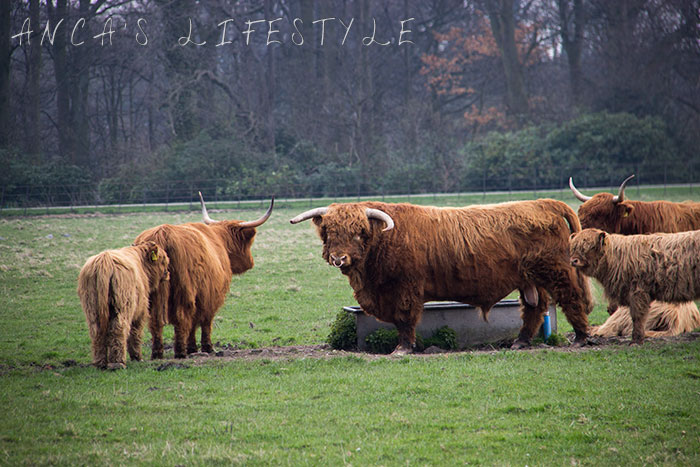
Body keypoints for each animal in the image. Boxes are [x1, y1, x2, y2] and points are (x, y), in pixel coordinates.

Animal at [77, 241, 170, 370]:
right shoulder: (140, 312)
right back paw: (118, 363)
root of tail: (105, 260)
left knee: (96, 331)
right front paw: (137, 357)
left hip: (92, 306)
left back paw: (100, 363)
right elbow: (135, 333)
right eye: (163, 259)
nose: (168, 273)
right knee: (119, 329)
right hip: (122, 305)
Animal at [135, 195, 274, 358]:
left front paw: (194, 348)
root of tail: (162, 234)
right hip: (184, 292)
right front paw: (206, 347)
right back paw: (180, 352)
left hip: (153, 295)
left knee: (155, 321)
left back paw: (157, 353)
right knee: (182, 318)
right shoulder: (210, 295)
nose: (251, 262)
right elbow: (204, 321)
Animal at [290, 198, 592, 354]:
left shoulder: (406, 288)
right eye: (329, 231)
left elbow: (404, 318)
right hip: (530, 278)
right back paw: (521, 341)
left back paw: (581, 338)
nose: (338, 258)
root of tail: (544, 203)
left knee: (571, 299)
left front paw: (403, 348)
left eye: (358, 232)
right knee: (534, 307)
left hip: (556, 271)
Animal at [568, 229, 700, 346]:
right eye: (574, 247)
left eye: (590, 247)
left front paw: (636, 341)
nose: (574, 260)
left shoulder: (638, 292)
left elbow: (638, 317)